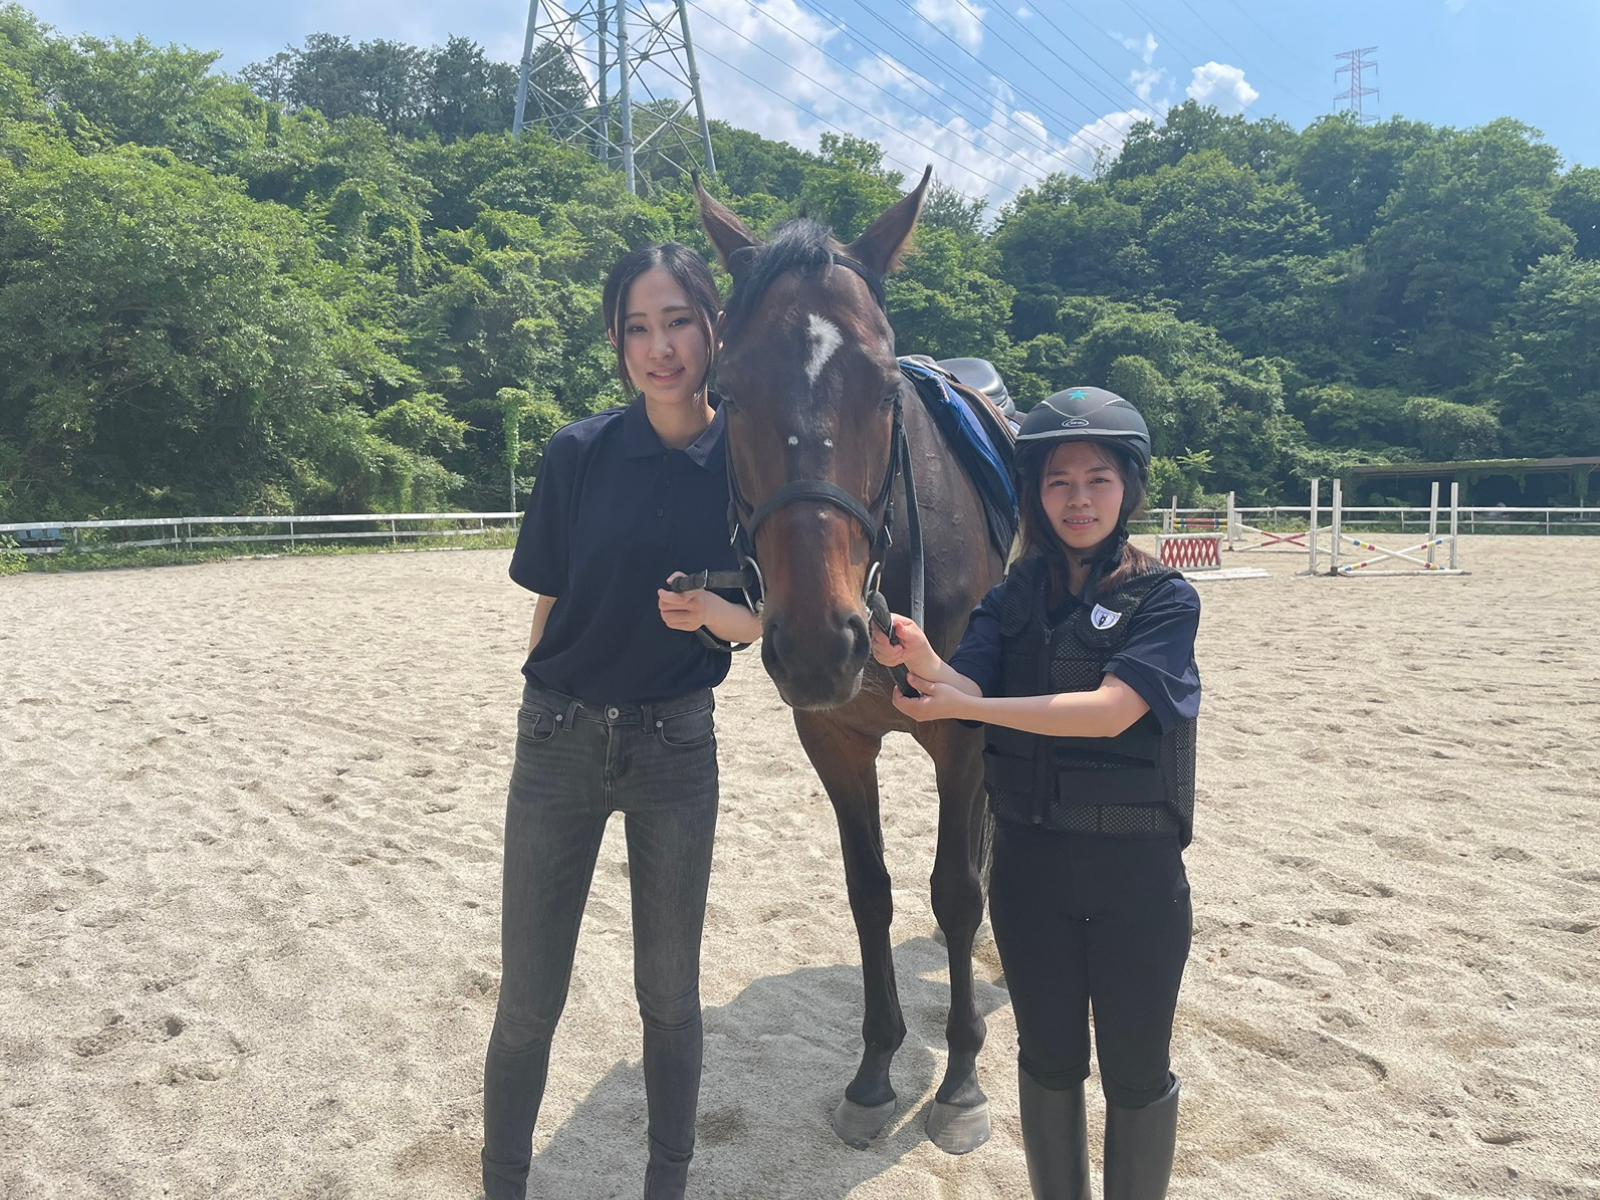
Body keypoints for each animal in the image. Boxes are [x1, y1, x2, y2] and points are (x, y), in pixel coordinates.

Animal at [695, 170, 1009, 1155]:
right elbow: (870, 892)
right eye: (727, 391)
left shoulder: (964, 731)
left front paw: (960, 1080)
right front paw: (875, 1072)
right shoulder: (834, 742)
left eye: (882, 390)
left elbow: (954, 892)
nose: (814, 643)